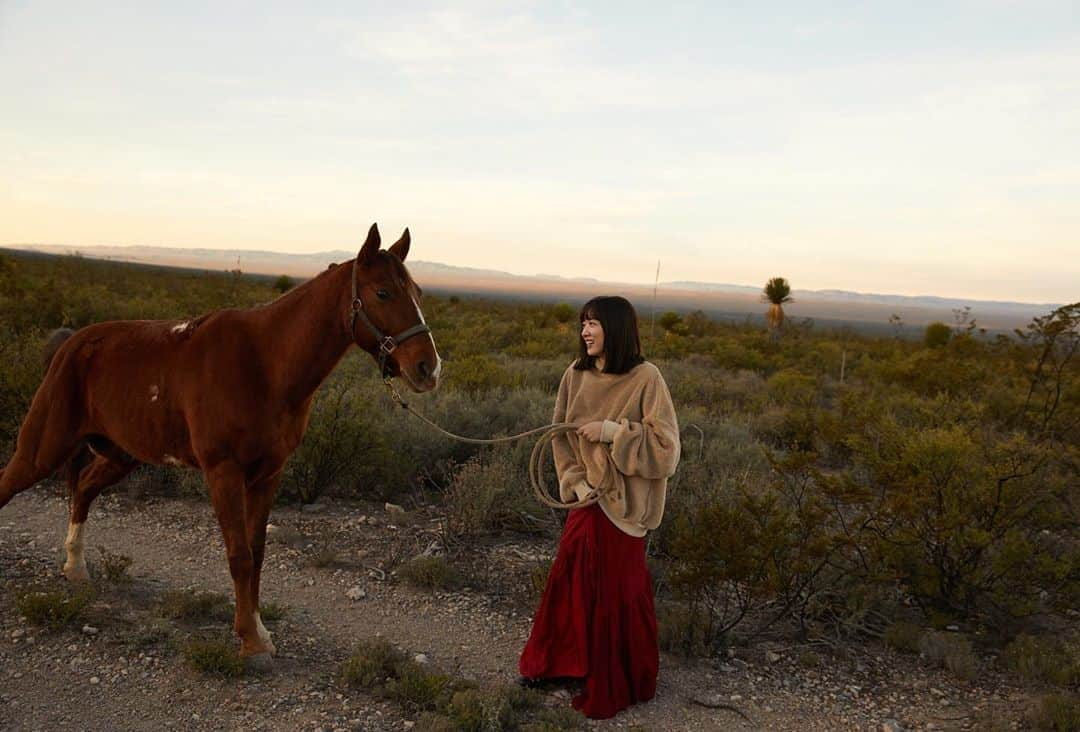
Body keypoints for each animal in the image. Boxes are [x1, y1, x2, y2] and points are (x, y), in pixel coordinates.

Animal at [0, 225, 442, 669]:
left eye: (419, 292)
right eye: (382, 292)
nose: (428, 367)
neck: (265, 364)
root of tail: (71, 343)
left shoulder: (267, 475)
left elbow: (257, 553)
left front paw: (258, 629)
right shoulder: (223, 472)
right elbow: (239, 555)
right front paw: (251, 641)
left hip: (119, 454)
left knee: (83, 489)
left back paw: (75, 566)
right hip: (42, 450)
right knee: (12, 484)